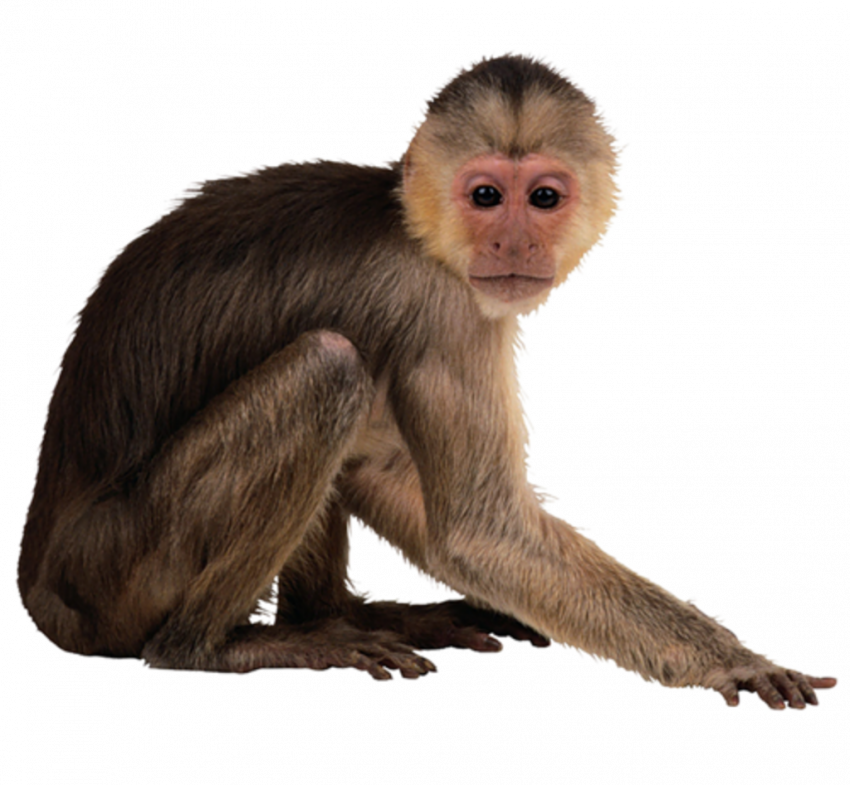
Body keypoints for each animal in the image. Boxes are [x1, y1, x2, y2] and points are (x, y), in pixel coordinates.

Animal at [19, 52, 838, 710]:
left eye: (543, 197)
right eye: (486, 197)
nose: (513, 242)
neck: (420, 234)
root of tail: (40, 586)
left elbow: (384, 469)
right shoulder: (446, 306)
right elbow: (478, 530)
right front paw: (729, 659)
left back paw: (335, 614)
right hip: (122, 572)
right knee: (330, 364)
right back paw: (218, 645)